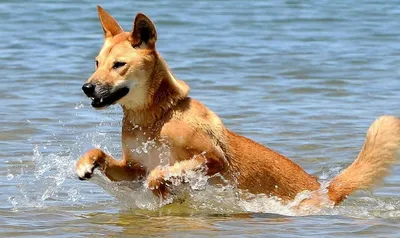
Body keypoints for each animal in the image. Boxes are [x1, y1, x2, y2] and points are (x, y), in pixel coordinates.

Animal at [76, 5, 400, 206]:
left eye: (119, 65)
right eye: (96, 63)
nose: (87, 88)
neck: (157, 118)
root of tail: (325, 190)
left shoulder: (213, 158)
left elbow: (165, 171)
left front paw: (161, 186)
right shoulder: (134, 170)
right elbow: (100, 153)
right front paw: (84, 163)